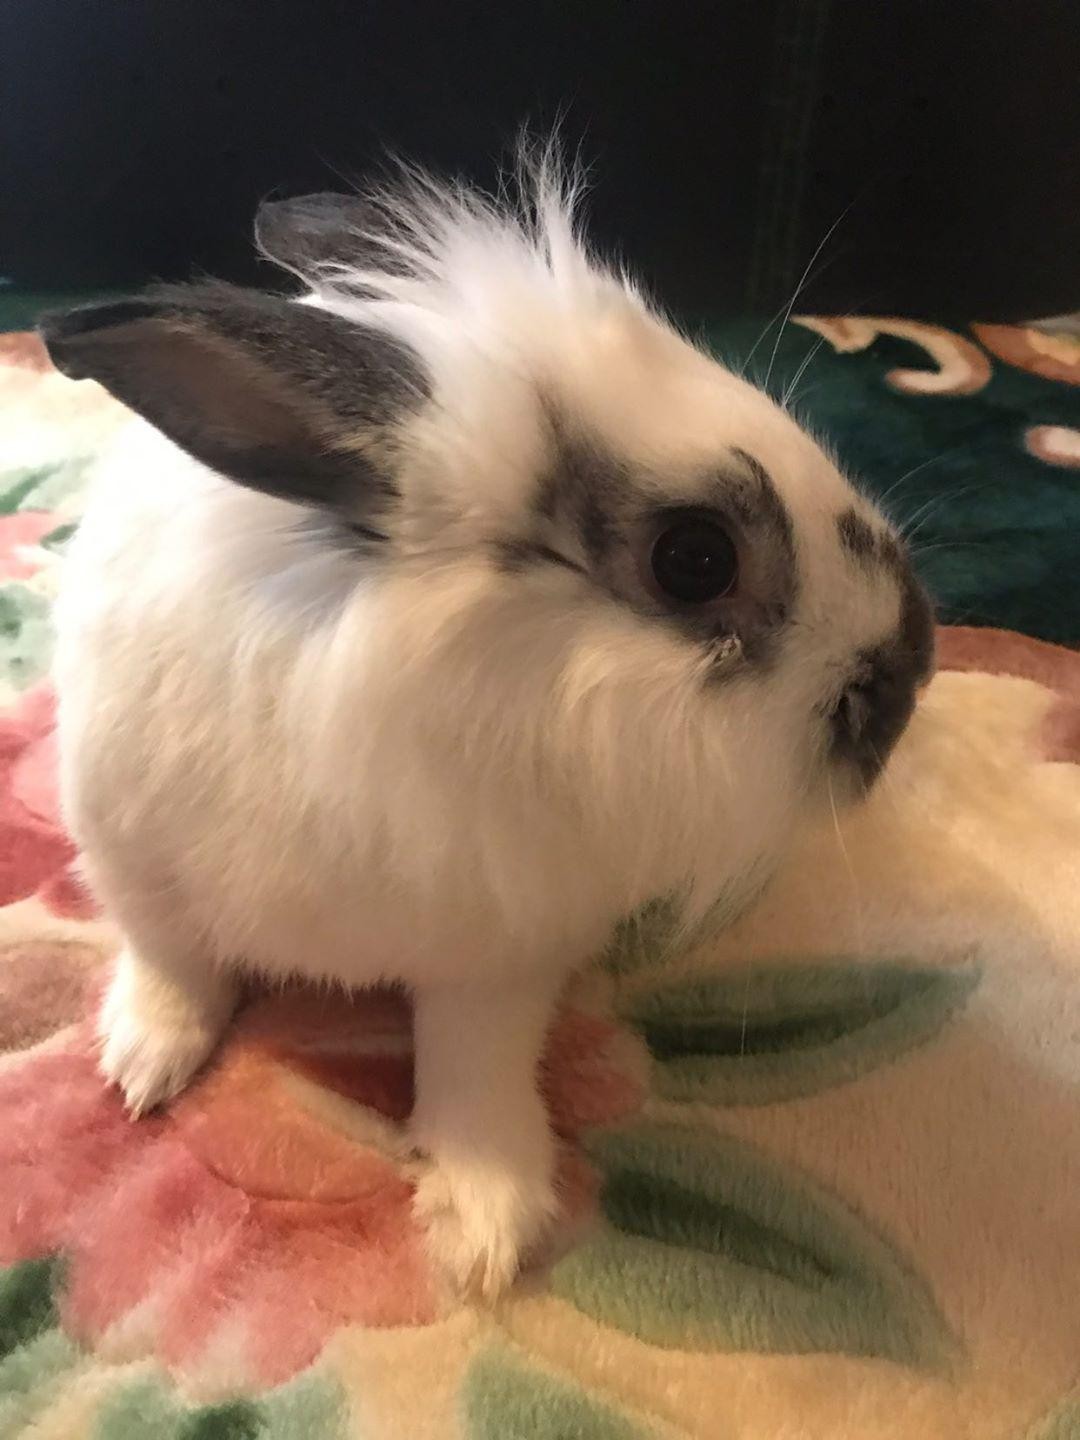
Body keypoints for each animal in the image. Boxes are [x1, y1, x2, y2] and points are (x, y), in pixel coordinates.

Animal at [39, 151, 933, 1300]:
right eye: (695, 559)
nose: (915, 668)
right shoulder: (134, 858)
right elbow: (173, 965)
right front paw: (142, 1068)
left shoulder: (498, 955)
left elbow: (477, 1070)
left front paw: (484, 1228)